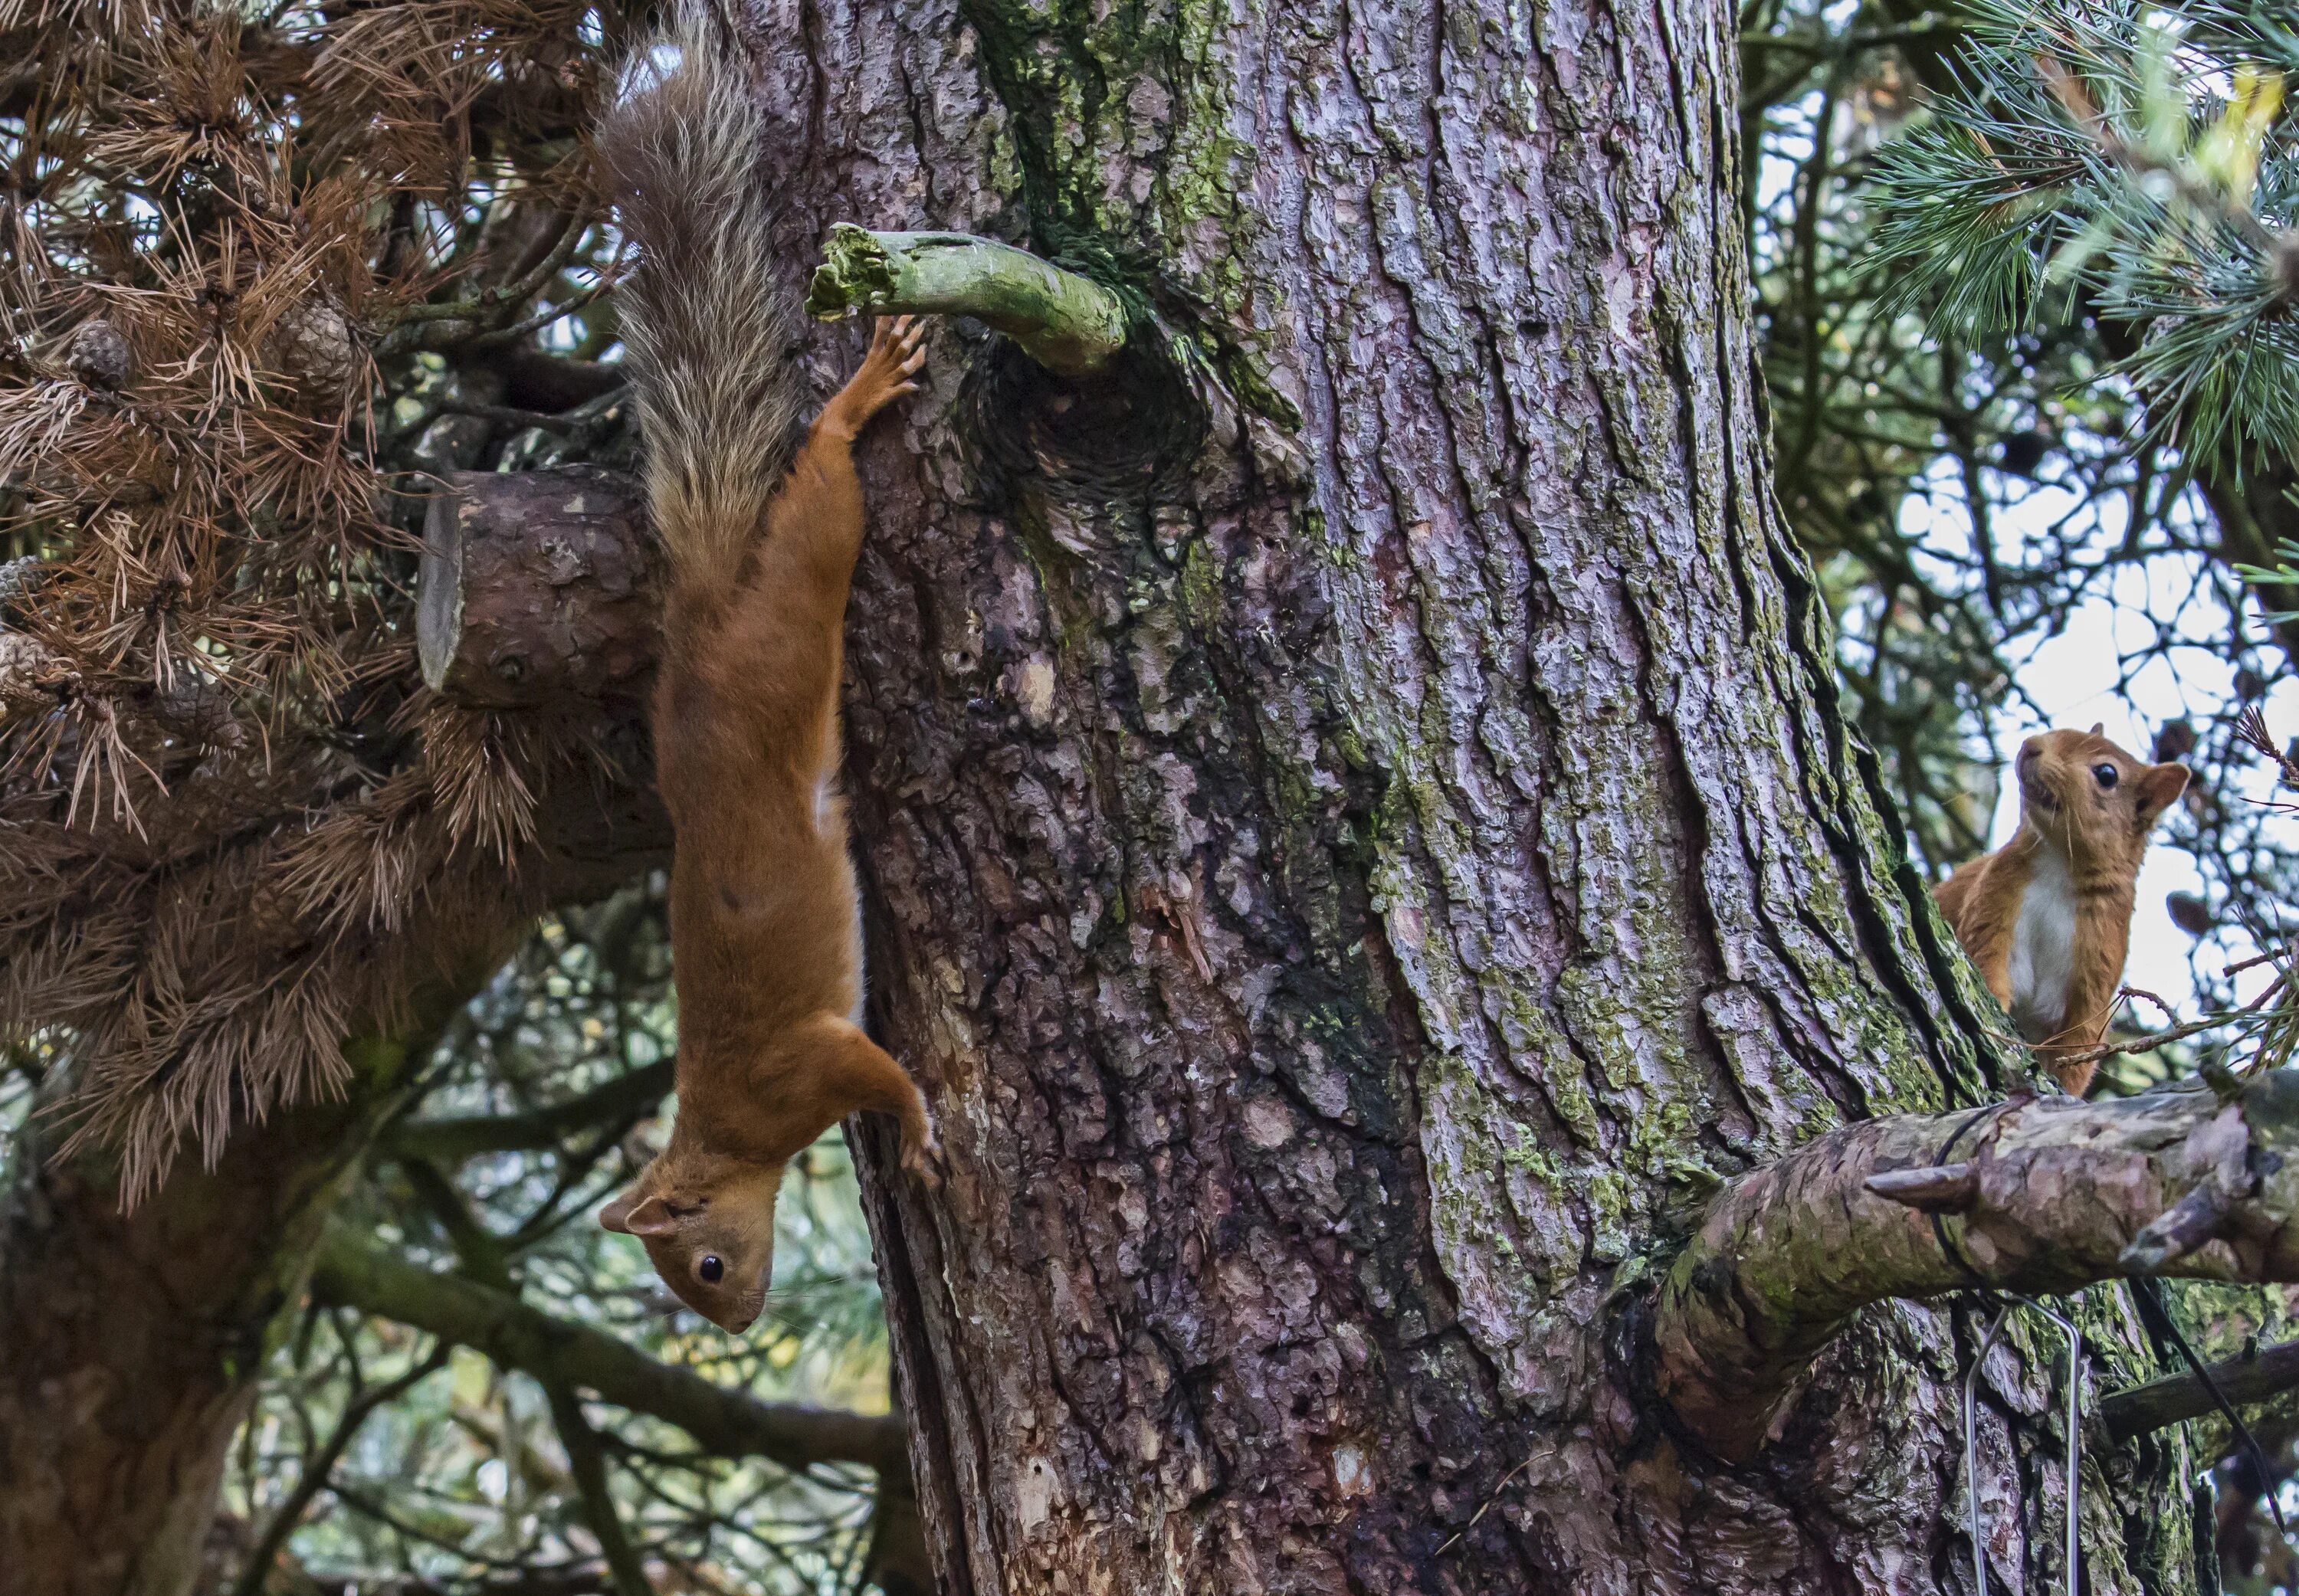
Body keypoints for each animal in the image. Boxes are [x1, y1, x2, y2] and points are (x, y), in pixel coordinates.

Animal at [602, 9, 952, 1333]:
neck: (726, 1128)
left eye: (701, 1265)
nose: (742, 1319)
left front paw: (918, 1132)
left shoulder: (806, 1062)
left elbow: (881, 1074)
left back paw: (857, 397)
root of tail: (703, 621)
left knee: (821, 498)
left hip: (794, 612)